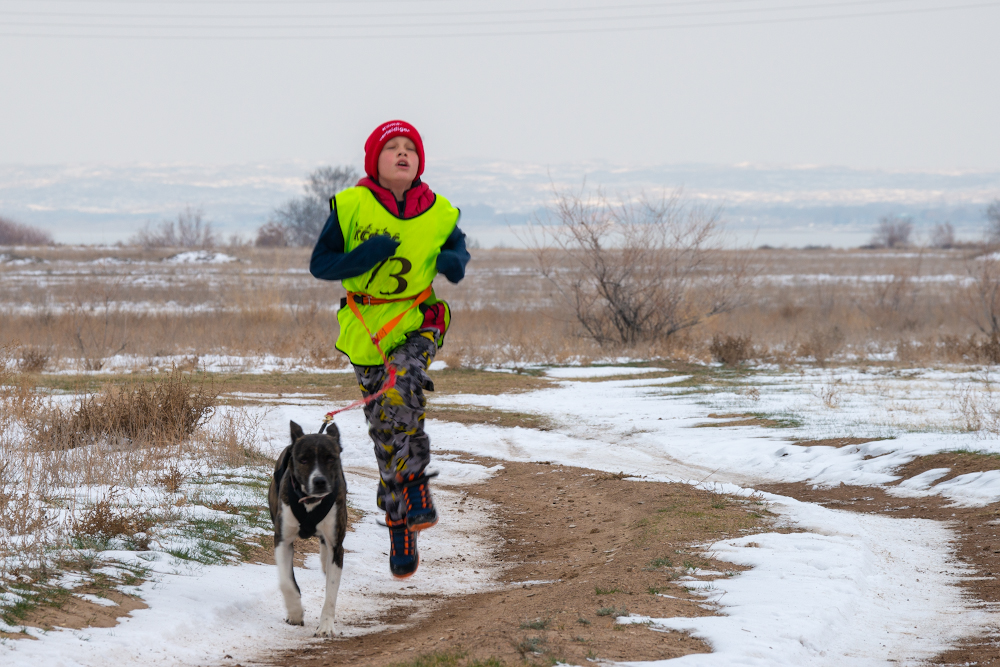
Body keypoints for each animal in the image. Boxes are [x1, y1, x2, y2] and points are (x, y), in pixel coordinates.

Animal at [270, 422, 348, 636]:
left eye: (330, 458)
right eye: (303, 459)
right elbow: (286, 582)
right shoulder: (282, 540)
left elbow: (331, 592)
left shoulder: (337, 545)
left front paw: (326, 626)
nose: (319, 481)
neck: (311, 501)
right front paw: (295, 613)